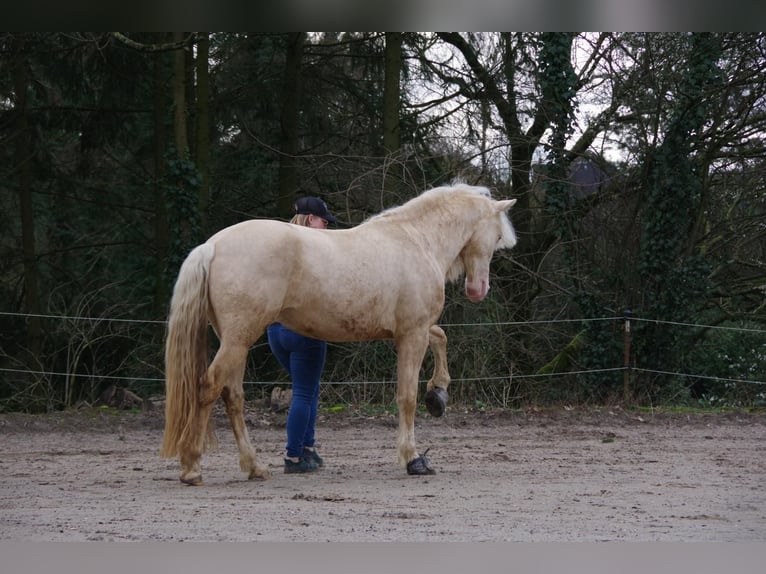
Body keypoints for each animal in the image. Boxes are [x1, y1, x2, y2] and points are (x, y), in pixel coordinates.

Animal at [159, 183, 520, 486]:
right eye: (496, 236)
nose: (478, 290)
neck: (417, 240)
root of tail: (212, 245)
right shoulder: (412, 334)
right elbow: (406, 397)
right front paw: (413, 459)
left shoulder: (410, 330)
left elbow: (441, 337)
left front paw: (439, 394)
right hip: (237, 339)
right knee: (208, 388)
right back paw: (192, 467)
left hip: (235, 341)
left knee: (232, 396)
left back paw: (254, 467)